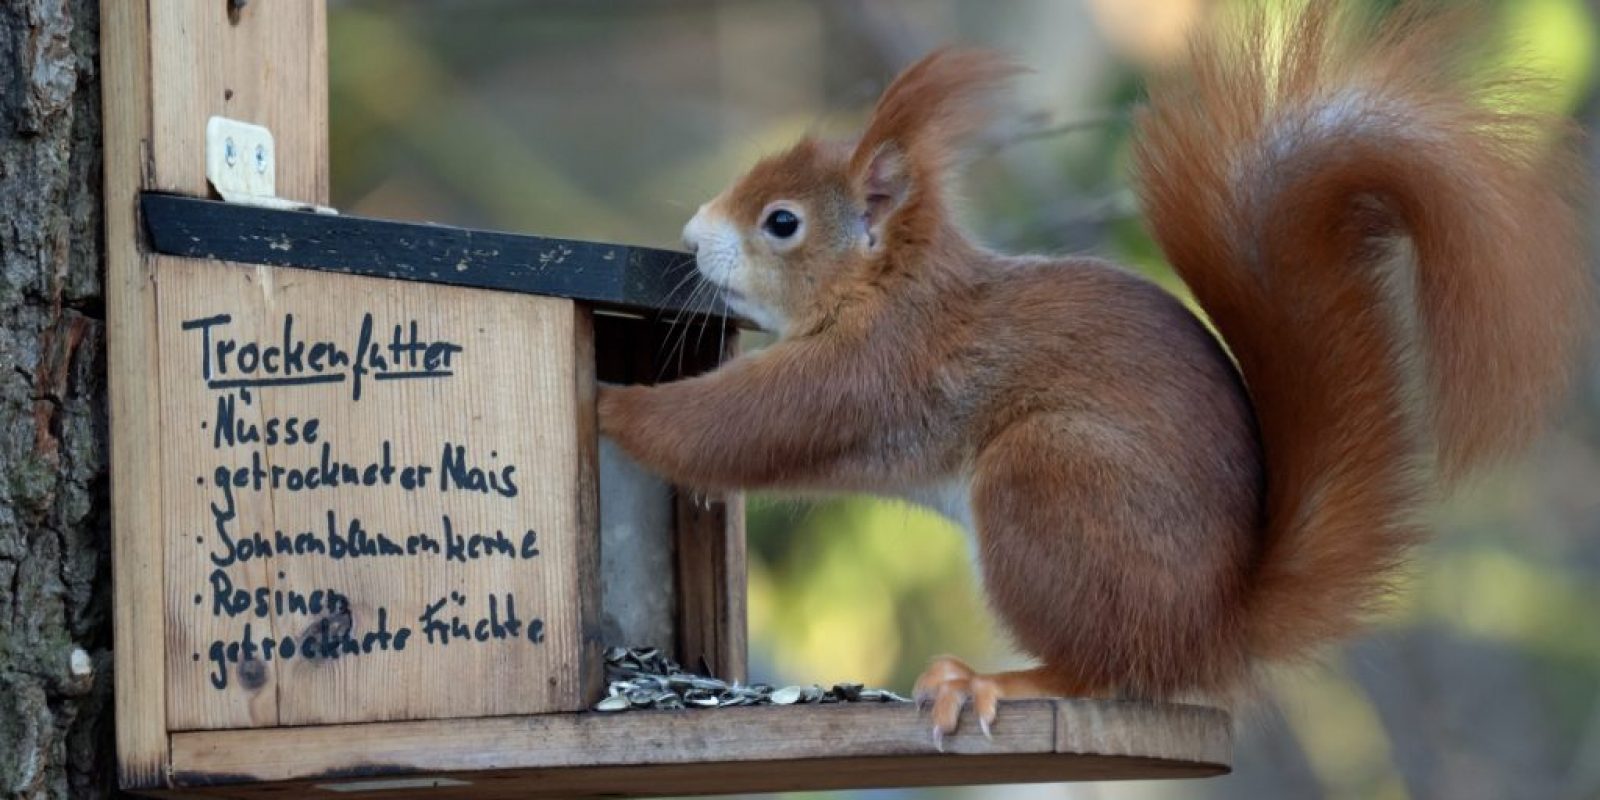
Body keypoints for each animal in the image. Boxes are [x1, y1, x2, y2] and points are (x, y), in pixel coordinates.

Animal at [598, 1, 1587, 736]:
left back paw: (992, 682)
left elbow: (749, 424)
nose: (689, 236)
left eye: (782, 224)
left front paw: (610, 406)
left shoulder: (880, 365)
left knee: (1102, 668)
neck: (890, 285)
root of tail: (1209, 631)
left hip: (1048, 480)